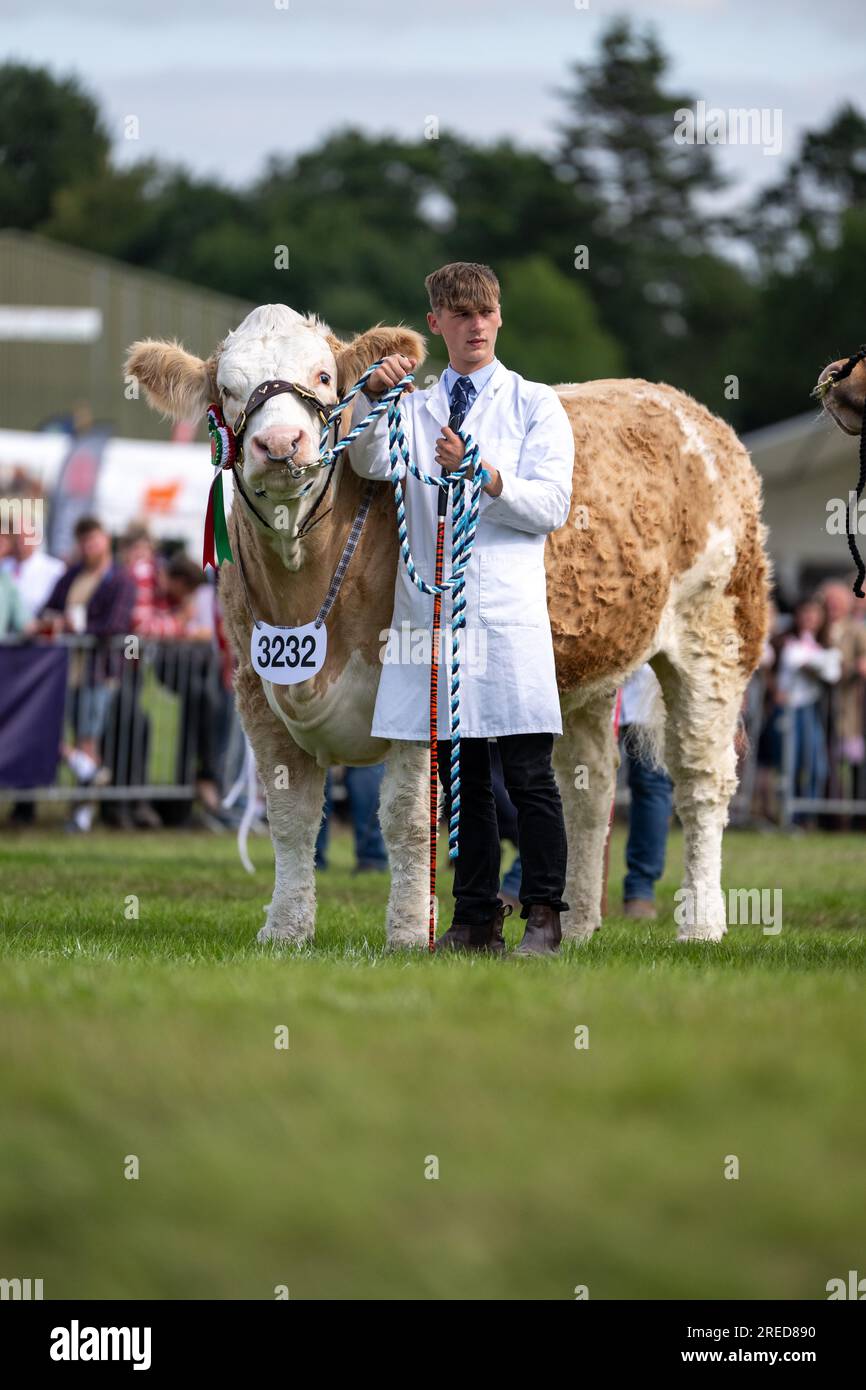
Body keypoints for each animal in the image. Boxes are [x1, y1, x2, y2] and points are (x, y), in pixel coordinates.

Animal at [127, 307, 772, 945]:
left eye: (324, 376)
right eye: (227, 389)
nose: (281, 443)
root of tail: (676, 402)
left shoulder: (416, 694)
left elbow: (409, 818)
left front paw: (411, 932)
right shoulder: (257, 691)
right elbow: (290, 819)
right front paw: (285, 930)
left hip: (716, 636)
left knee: (702, 782)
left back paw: (702, 923)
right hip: (586, 670)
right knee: (589, 789)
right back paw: (579, 923)